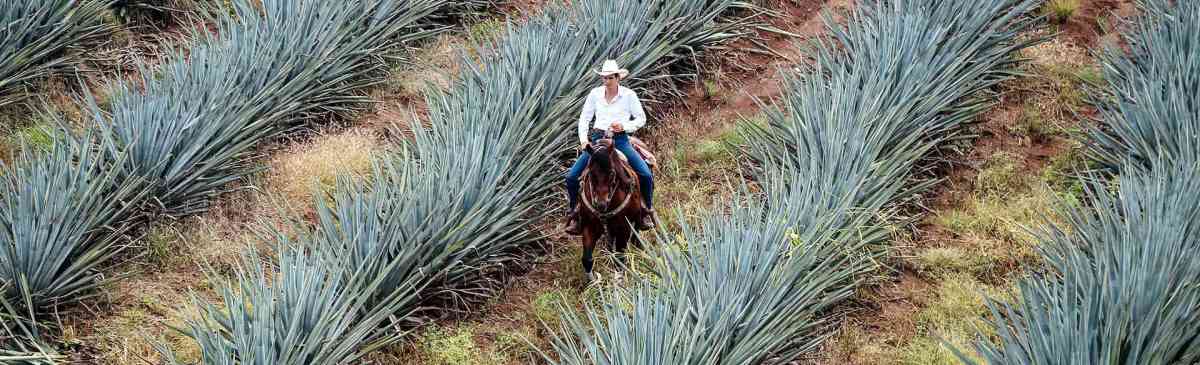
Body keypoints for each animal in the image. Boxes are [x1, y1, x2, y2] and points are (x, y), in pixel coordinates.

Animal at [573, 135, 657, 280]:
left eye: (612, 173)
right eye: (591, 173)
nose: (600, 204)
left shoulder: (624, 228)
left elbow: (620, 258)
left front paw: (619, 279)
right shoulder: (589, 227)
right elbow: (587, 259)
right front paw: (593, 282)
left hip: (637, 217)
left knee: (637, 232)